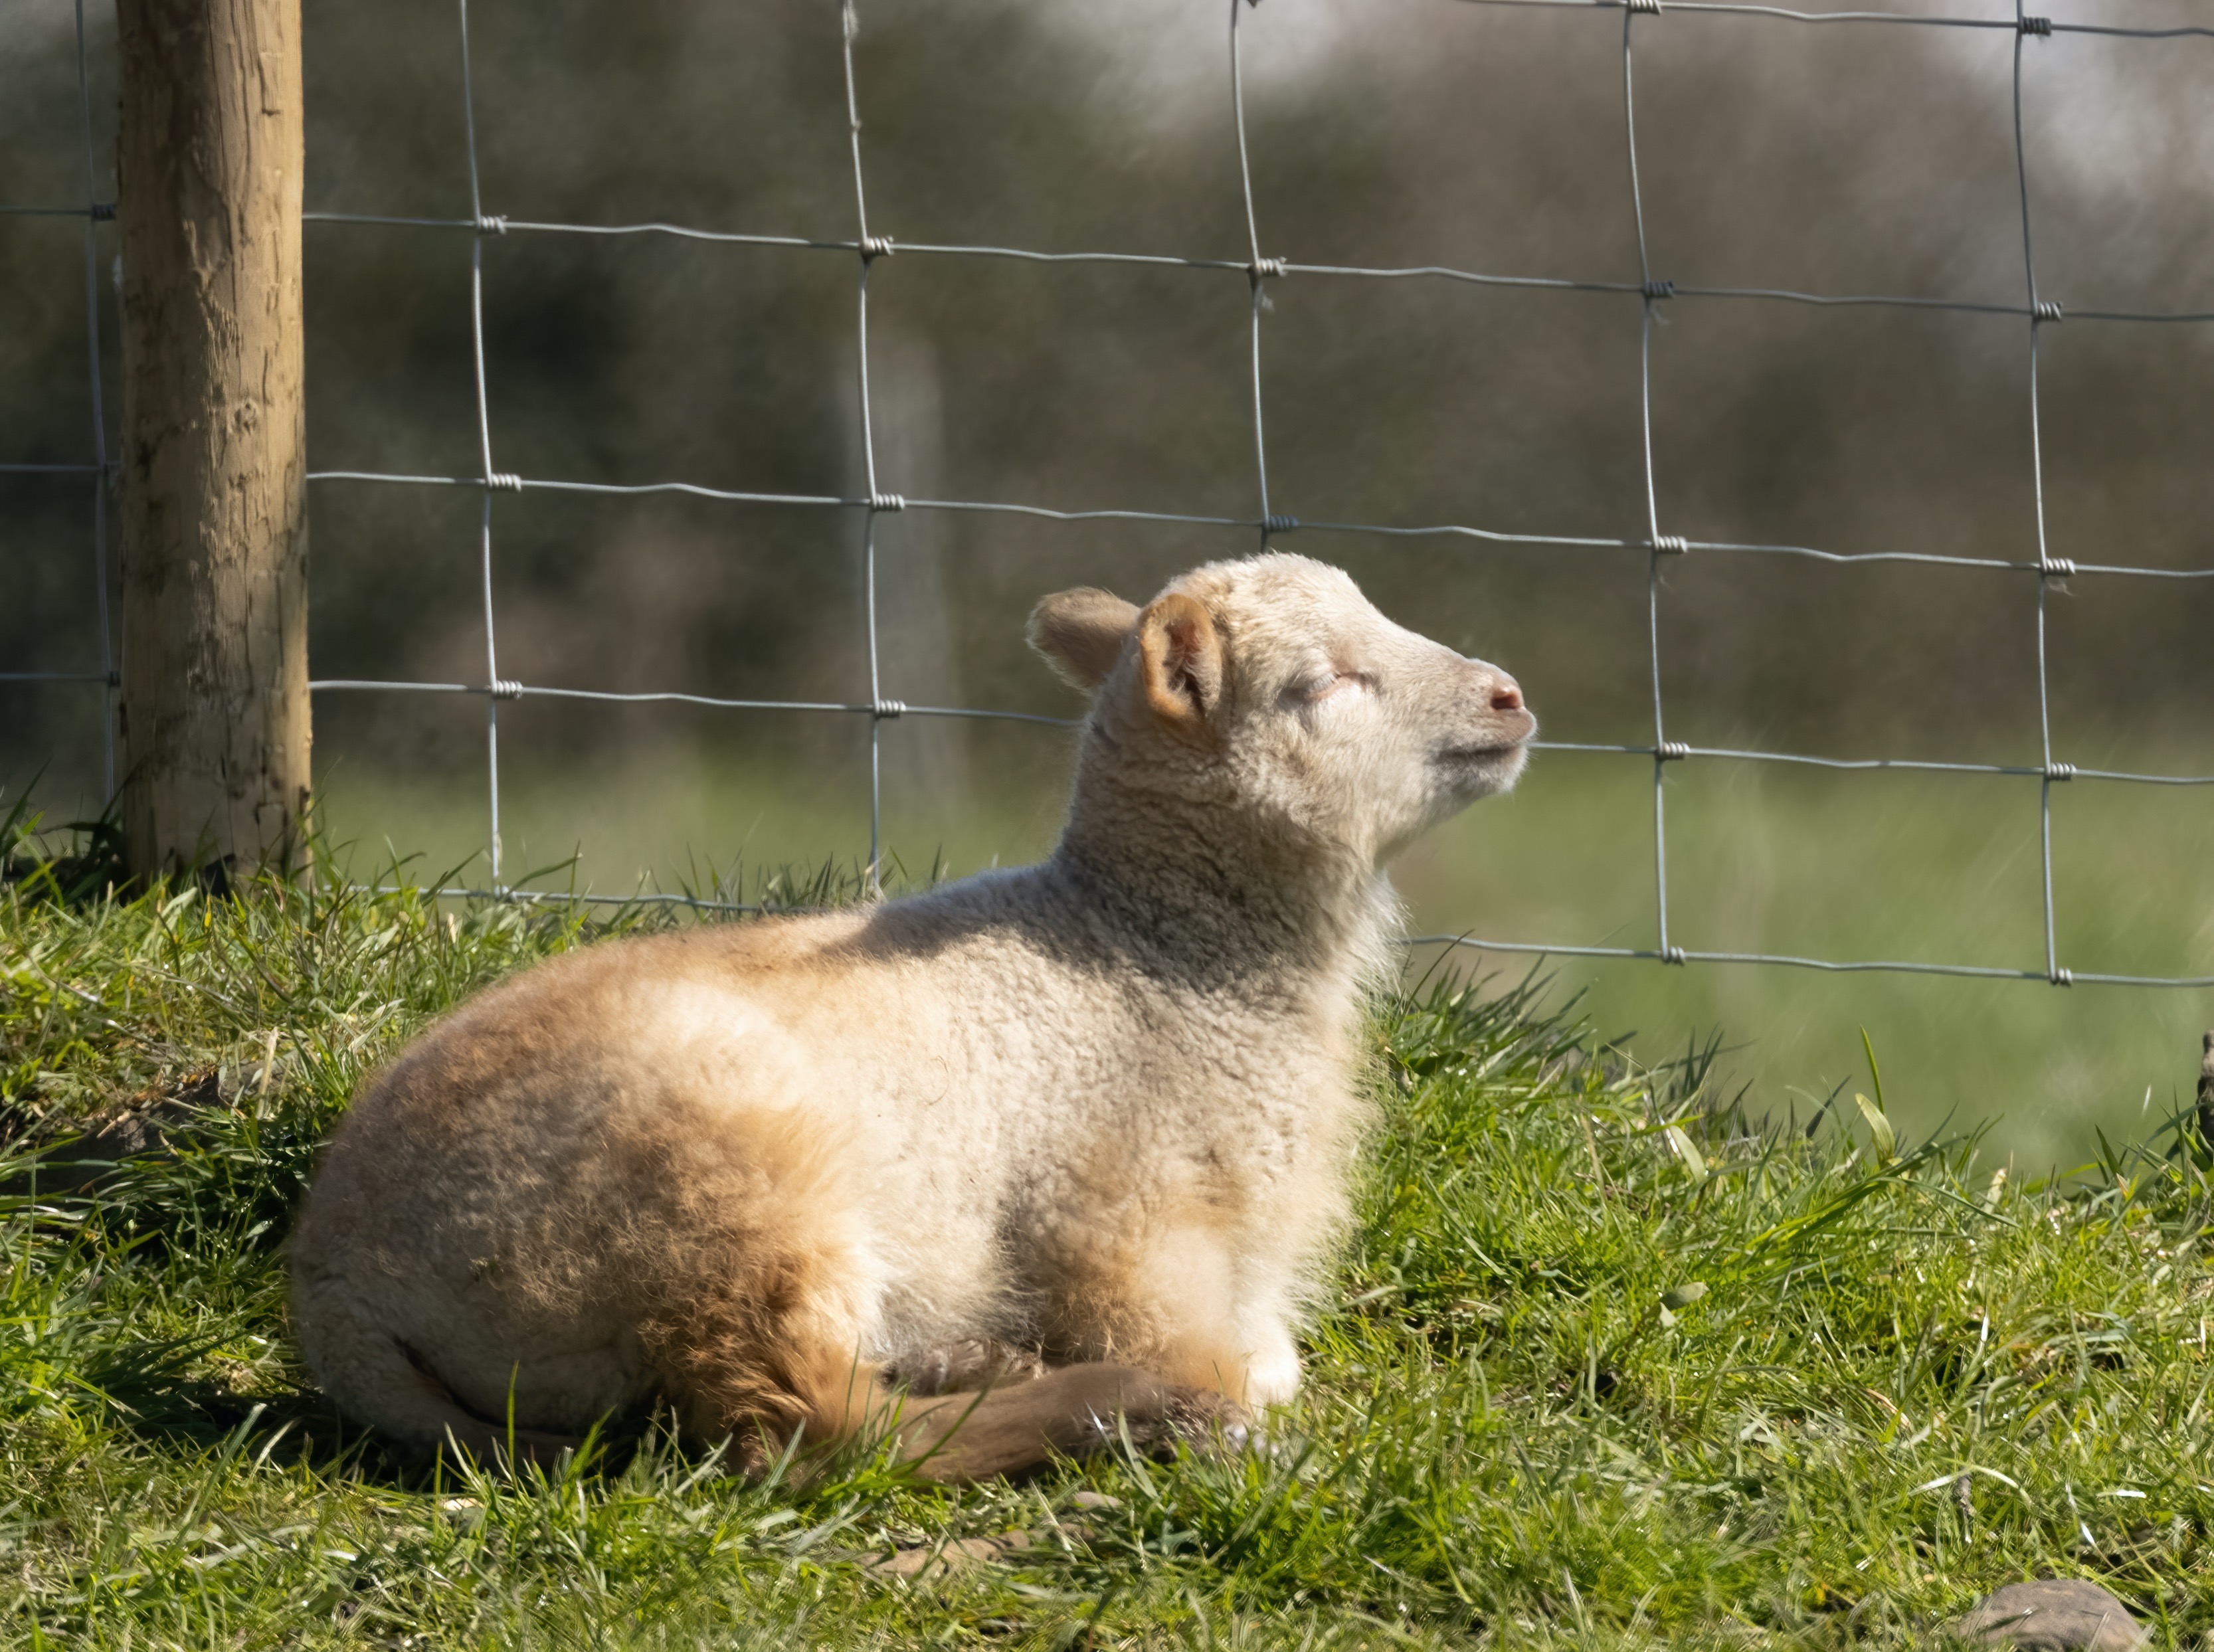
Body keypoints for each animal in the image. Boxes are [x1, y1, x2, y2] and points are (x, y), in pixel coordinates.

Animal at [289, 552, 1535, 1480]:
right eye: (1322, 684)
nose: (1509, 697)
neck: (1146, 953)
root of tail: (336, 1282)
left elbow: (1275, 1354)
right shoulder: (1118, 1225)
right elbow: (1222, 1356)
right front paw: (1203, 1397)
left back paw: (977, 1363)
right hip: (709, 1183)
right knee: (812, 1433)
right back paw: (1119, 1407)